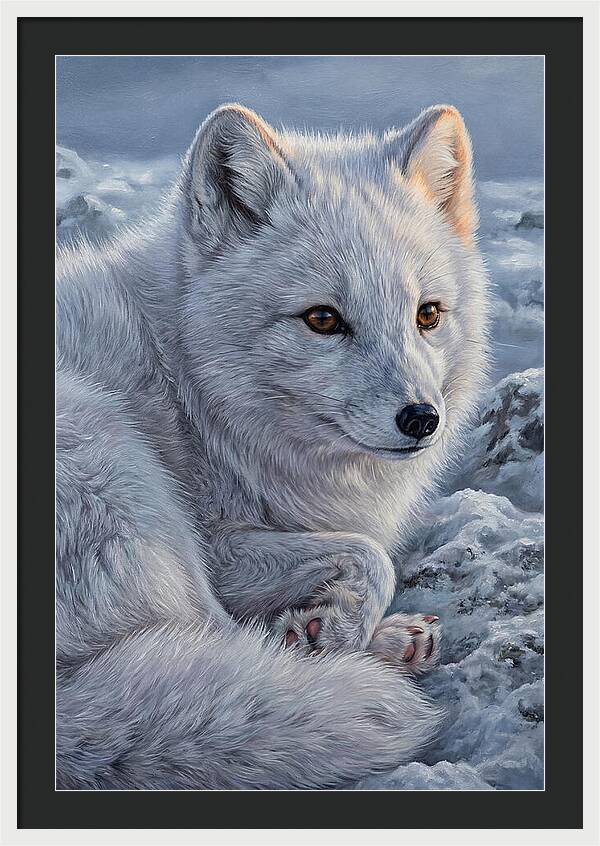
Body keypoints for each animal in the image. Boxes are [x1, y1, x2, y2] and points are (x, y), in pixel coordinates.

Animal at [56, 102, 489, 789]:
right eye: (322, 319)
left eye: (428, 315)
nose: (422, 419)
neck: (186, 382)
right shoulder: (217, 545)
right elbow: (372, 555)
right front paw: (334, 630)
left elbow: (361, 554)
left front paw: (331, 625)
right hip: (117, 467)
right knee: (215, 640)